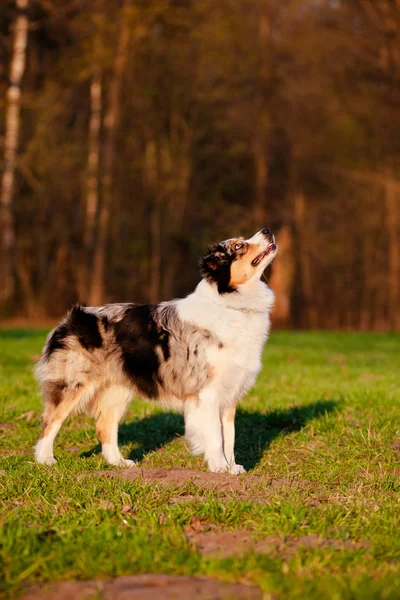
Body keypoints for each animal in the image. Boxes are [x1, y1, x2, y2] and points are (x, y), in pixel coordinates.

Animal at [34, 229, 276, 474]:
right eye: (238, 246)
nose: (267, 231)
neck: (231, 305)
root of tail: (72, 318)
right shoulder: (207, 392)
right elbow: (217, 437)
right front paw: (219, 467)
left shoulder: (229, 393)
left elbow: (230, 436)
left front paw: (232, 467)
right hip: (73, 383)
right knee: (50, 420)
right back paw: (45, 460)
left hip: (117, 390)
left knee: (105, 425)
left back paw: (118, 462)